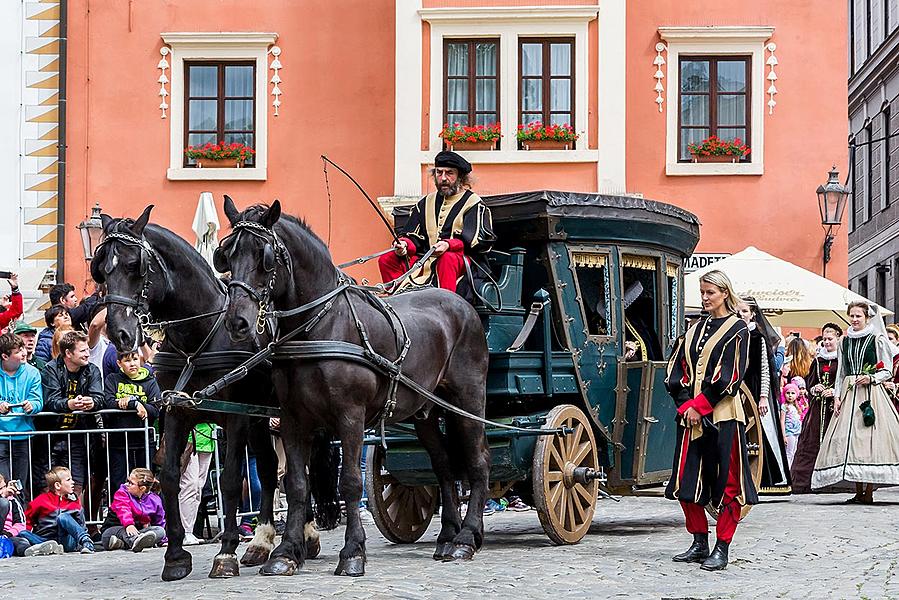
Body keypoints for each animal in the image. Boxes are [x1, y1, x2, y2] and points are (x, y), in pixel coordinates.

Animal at [93, 207, 342, 580]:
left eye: (136, 265)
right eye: (102, 269)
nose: (119, 333)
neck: (198, 339)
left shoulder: (234, 413)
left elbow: (229, 481)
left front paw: (225, 554)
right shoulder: (177, 412)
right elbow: (170, 477)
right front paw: (176, 556)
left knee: (301, 470)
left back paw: (303, 537)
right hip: (263, 419)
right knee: (270, 470)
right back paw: (263, 543)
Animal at [214, 197, 488, 576]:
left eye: (264, 255)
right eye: (226, 254)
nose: (237, 322)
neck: (320, 326)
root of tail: (463, 305)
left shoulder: (350, 416)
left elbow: (350, 484)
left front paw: (353, 552)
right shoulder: (292, 420)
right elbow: (296, 484)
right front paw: (285, 552)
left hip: (467, 402)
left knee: (477, 462)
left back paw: (466, 538)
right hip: (426, 413)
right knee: (444, 465)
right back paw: (448, 535)